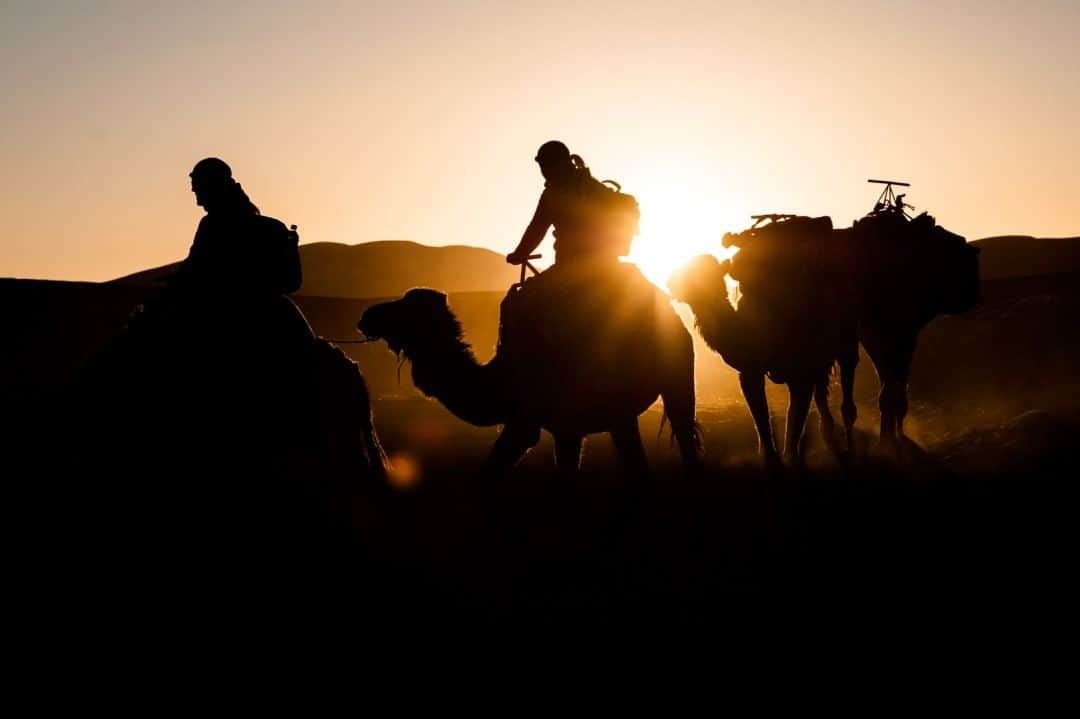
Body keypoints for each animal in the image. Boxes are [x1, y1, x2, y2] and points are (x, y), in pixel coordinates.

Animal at [358, 263, 704, 475]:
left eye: (406, 307)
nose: (366, 316)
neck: (499, 378)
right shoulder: (561, 426)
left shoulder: (533, 423)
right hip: (622, 409)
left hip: (677, 376)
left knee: (686, 438)